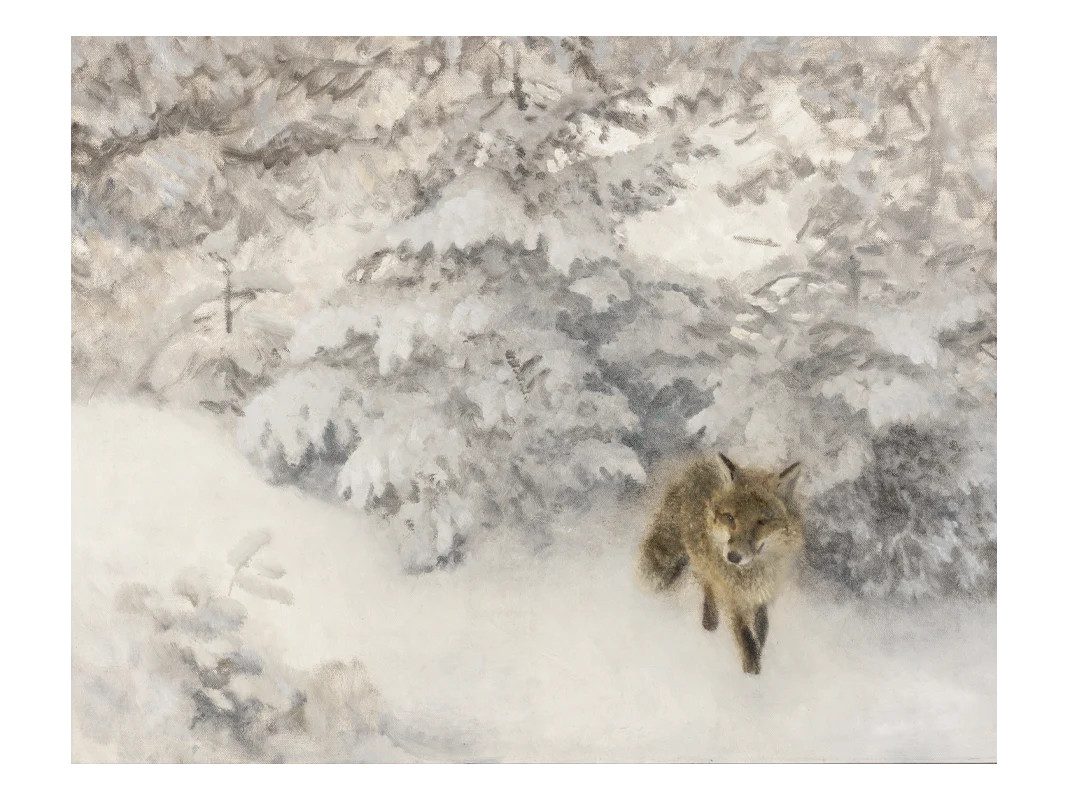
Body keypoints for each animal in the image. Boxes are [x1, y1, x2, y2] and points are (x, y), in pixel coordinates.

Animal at [637, 453, 803, 675]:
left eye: (761, 522)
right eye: (730, 517)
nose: (733, 556)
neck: (752, 575)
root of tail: (695, 466)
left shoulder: (764, 592)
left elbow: (762, 626)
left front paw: (760, 648)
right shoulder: (732, 597)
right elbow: (744, 635)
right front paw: (751, 672)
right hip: (701, 559)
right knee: (707, 584)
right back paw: (709, 620)